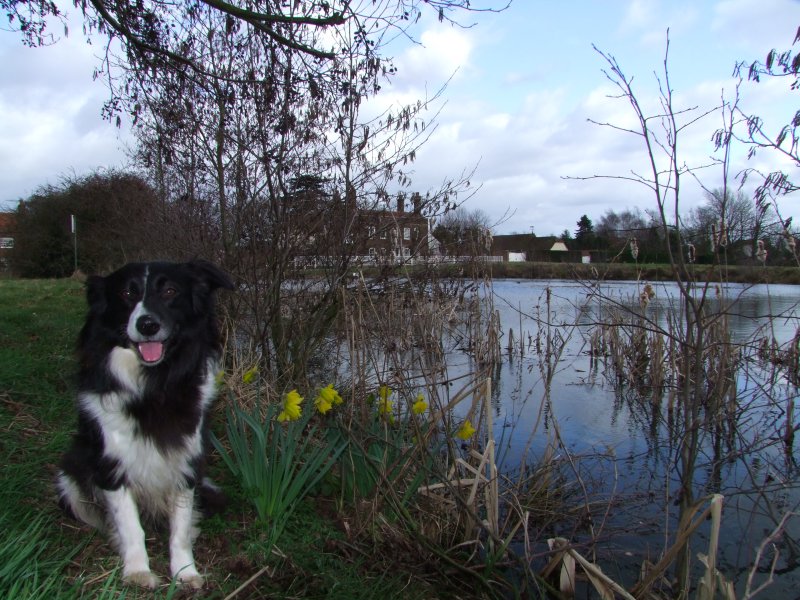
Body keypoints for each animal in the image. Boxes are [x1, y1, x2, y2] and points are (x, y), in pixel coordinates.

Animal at [56, 258, 234, 584]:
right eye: (127, 293)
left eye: (170, 291)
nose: (147, 324)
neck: (154, 384)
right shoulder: (112, 464)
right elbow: (130, 525)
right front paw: (138, 571)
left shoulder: (186, 462)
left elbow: (180, 527)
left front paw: (185, 571)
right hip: (69, 481)